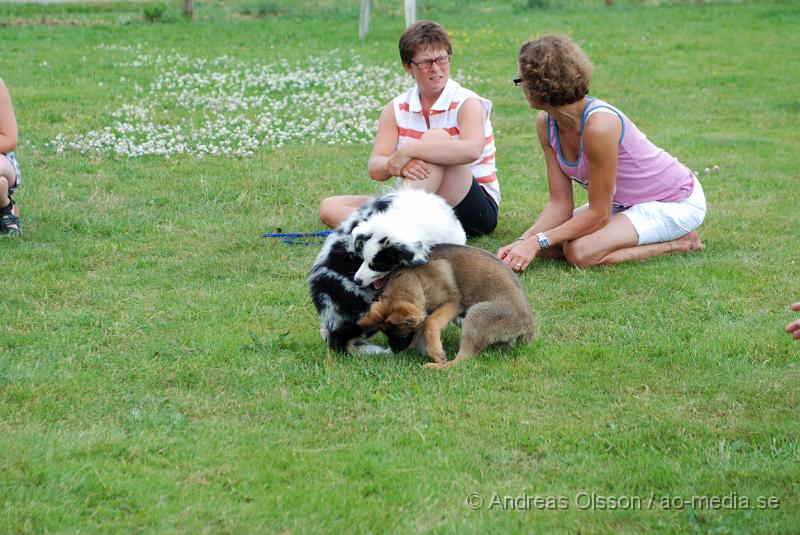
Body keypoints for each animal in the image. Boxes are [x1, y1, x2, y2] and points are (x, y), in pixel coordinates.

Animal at [308, 189, 468, 356]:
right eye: (362, 258)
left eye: (377, 265)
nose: (357, 281)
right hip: (364, 311)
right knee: (341, 341)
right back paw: (380, 352)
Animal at [358, 244, 536, 366]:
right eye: (387, 335)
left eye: (401, 335)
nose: (395, 351)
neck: (414, 278)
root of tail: (528, 325)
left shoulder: (453, 303)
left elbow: (430, 322)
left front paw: (436, 353)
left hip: (477, 314)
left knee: (462, 361)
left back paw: (437, 366)